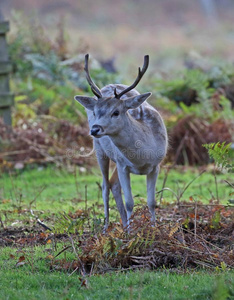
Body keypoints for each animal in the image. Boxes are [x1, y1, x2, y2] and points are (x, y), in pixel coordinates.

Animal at [74, 54, 167, 231]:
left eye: (116, 112)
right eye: (95, 112)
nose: (95, 129)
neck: (142, 158)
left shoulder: (156, 166)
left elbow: (152, 202)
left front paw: (153, 229)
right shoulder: (124, 165)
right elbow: (130, 202)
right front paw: (130, 233)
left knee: (113, 184)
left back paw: (123, 223)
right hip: (101, 150)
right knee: (105, 186)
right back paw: (106, 227)